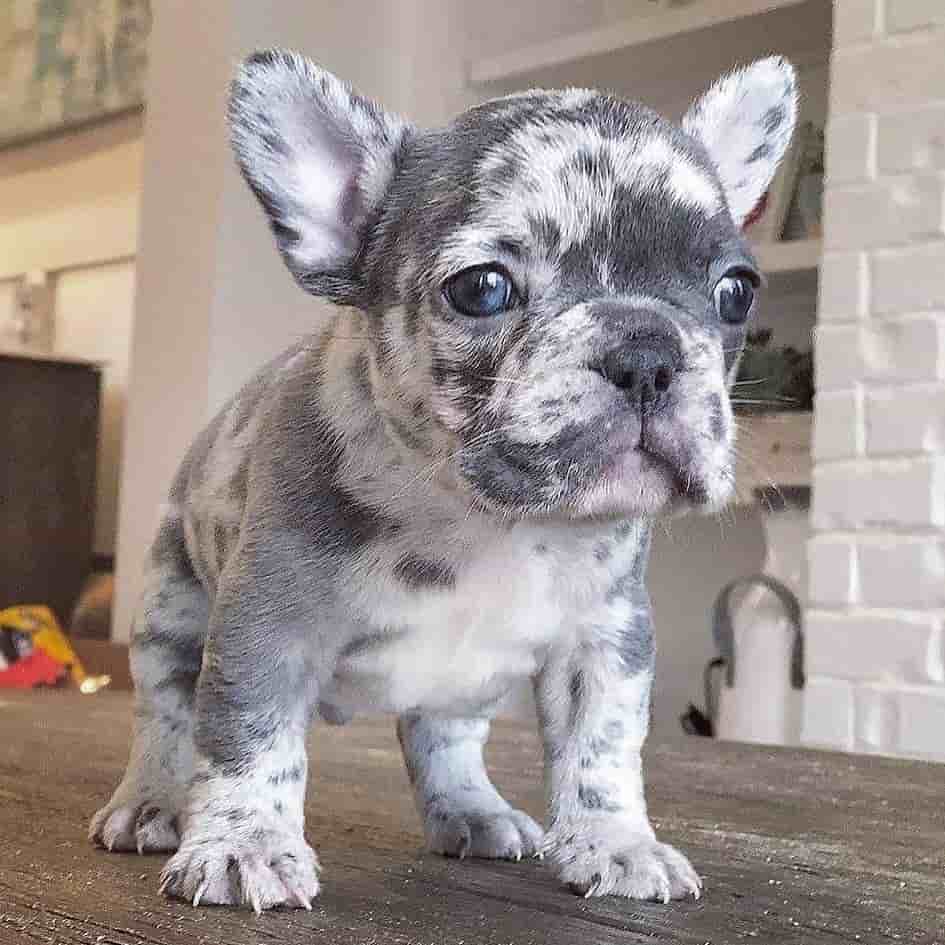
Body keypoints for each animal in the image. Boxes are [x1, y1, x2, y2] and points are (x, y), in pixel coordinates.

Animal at [90, 49, 796, 908]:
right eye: (482, 287)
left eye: (736, 291)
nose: (645, 354)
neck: (482, 516)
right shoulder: (265, 625)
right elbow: (249, 737)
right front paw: (244, 844)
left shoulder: (605, 639)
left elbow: (601, 747)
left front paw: (616, 841)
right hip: (170, 605)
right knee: (163, 714)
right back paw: (149, 803)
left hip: (465, 683)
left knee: (444, 736)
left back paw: (473, 809)